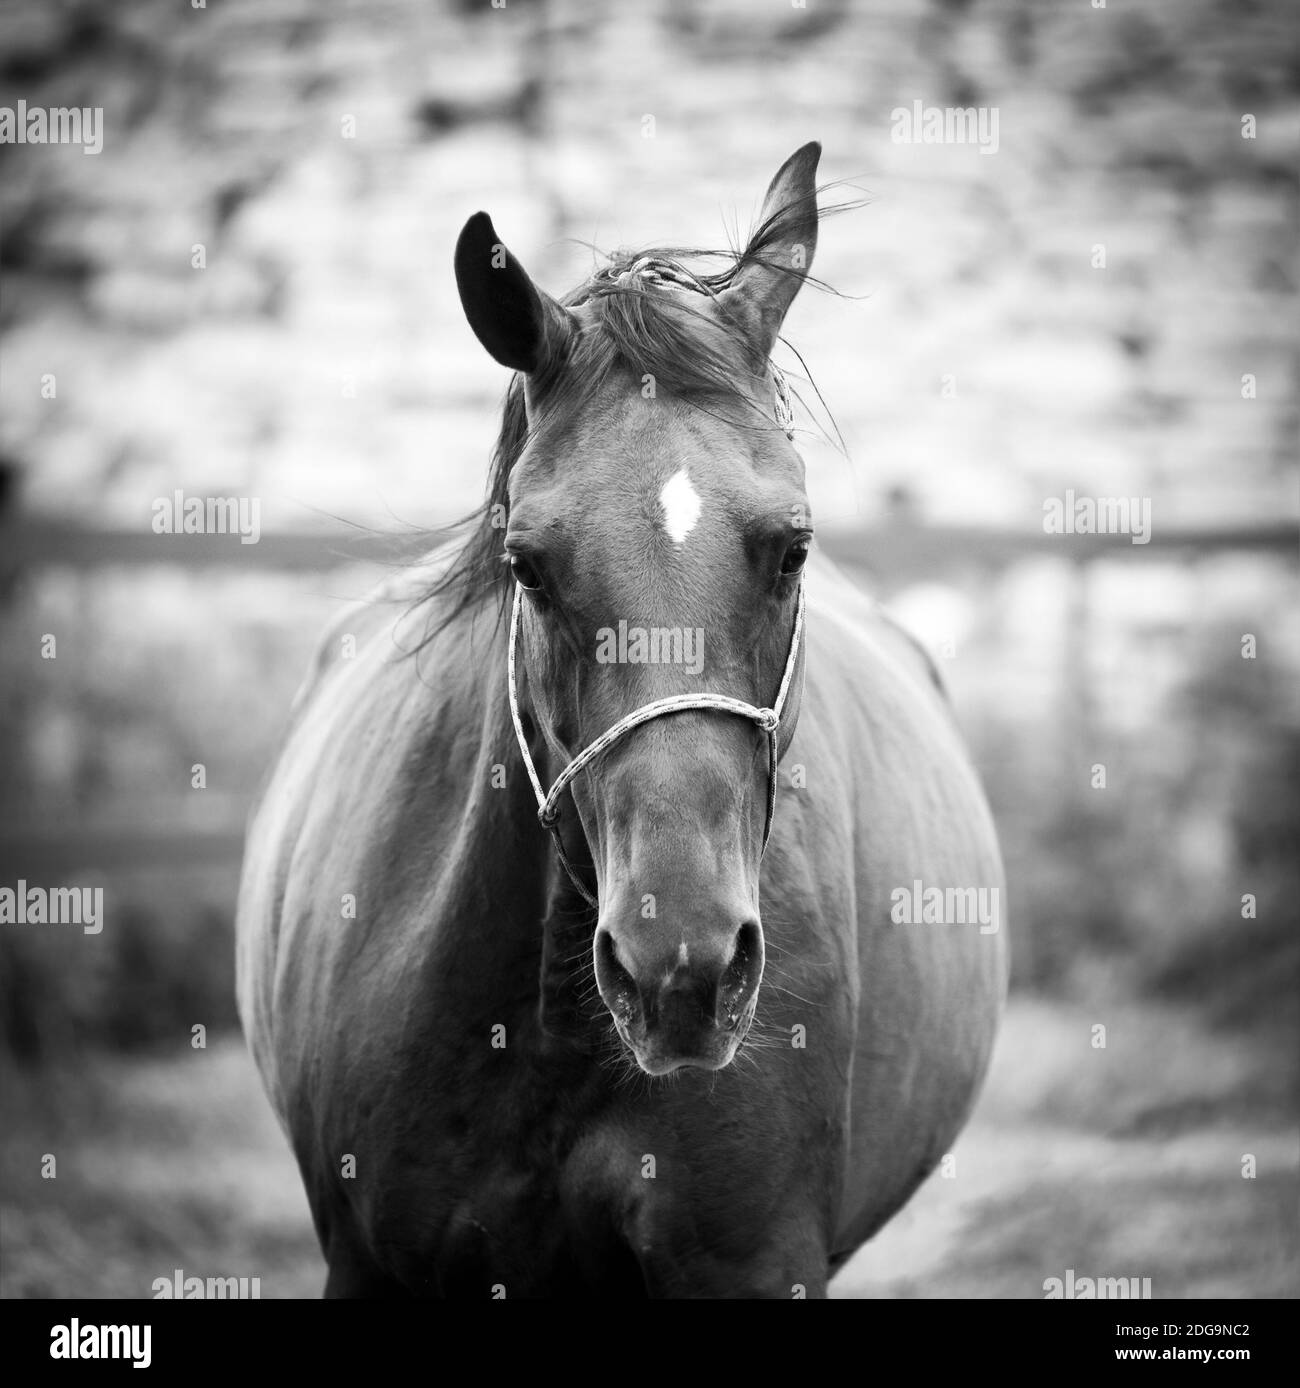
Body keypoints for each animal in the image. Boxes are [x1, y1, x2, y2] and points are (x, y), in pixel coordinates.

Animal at [235, 142, 1008, 1299]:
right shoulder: (370, 1263)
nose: (678, 966)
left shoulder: (753, 1263)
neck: (549, 1032)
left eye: (793, 547)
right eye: (527, 562)